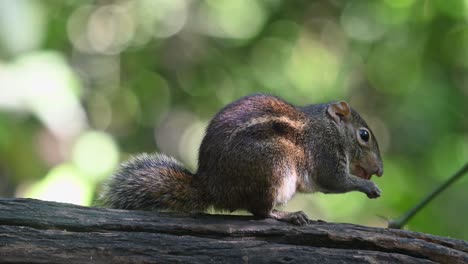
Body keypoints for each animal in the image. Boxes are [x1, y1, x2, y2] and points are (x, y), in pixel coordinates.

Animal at [97, 93, 382, 225]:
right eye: (364, 135)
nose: (379, 170)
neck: (329, 128)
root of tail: (211, 187)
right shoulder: (325, 153)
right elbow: (335, 182)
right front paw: (369, 186)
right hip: (274, 170)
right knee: (261, 212)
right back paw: (288, 215)